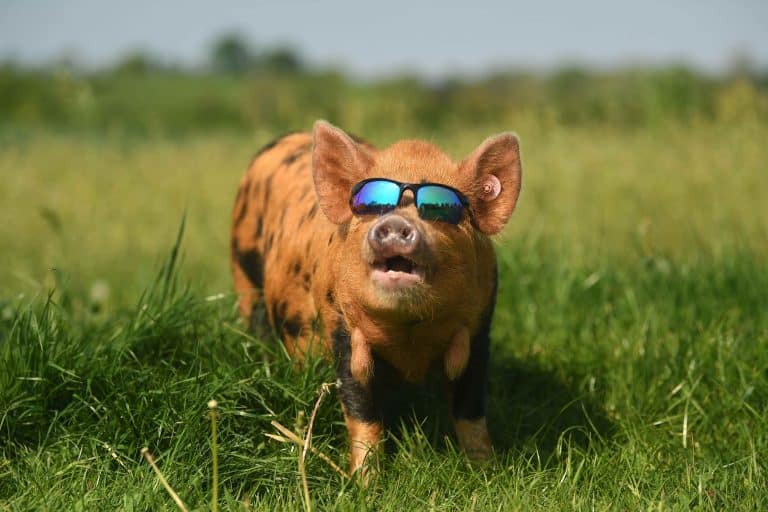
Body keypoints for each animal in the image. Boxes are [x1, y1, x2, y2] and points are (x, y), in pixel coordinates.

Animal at [230, 121, 522, 473]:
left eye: (441, 208)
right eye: (374, 207)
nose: (395, 222)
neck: (408, 335)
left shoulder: (480, 325)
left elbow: (470, 407)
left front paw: (485, 469)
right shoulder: (341, 327)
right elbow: (361, 409)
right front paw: (363, 479)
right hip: (244, 276)